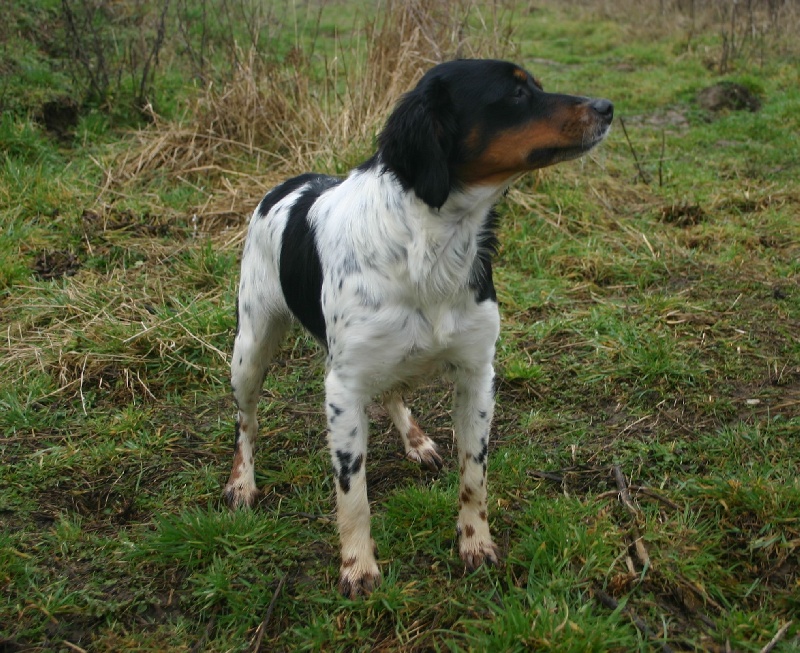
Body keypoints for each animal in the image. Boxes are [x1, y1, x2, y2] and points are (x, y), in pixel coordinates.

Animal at [224, 58, 613, 598]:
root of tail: (286, 185)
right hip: (251, 347)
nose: (607, 106)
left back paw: (415, 439)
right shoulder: (342, 389)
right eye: (516, 92)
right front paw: (357, 565)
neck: (431, 244)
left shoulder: (477, 373)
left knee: (391, 392)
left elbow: (474, 475)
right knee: (246, 422)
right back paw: (242, 482)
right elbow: (353, 493)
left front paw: (475, 544)